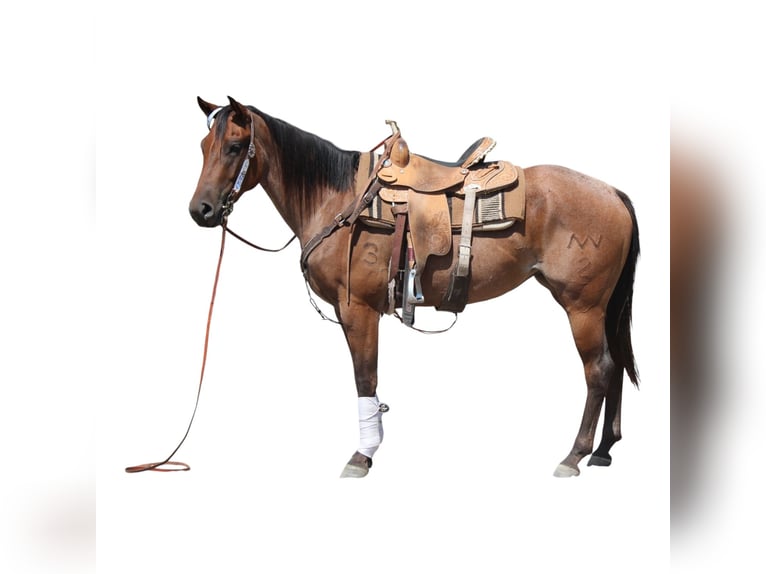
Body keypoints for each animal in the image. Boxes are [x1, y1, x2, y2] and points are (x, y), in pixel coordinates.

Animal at [189, 96, 640, 478]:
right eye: (204, 146)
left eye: (234, 147)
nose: (201, 210)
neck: (337, 199)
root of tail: (612, 192)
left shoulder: (358, 310)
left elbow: (365, 378)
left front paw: (362, 455)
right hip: (603, 308)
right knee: (617, 364)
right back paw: (603, 450)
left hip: (583, 307)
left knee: (598, 370)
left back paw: (574, 454)